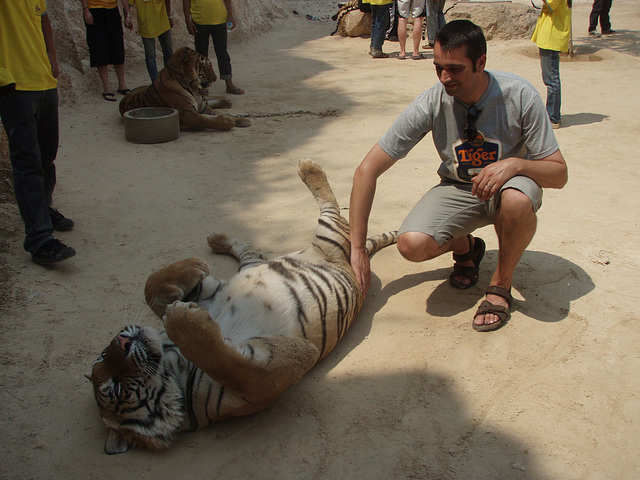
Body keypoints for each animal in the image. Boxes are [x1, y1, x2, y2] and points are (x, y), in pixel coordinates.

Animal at [90, 160, 398, 454]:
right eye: (115, 388)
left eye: (102, 355)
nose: (120, 341)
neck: (172, 360)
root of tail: (353, 262)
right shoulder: (259, 382)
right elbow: (222, 359)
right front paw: (183, 320)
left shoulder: (210, 298)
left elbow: (151, 287)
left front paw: (188, 280)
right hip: (327, 242)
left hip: (313, 242)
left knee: (325, 209)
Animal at [120, 47, 250, 131]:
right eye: (206, 65)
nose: (215, 78)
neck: (192, 87)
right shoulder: (186, 114)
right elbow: (205, 120)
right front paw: (227, 121)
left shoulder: (203, 108)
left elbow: (218, 112)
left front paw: (241, 120)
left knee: (209, 99)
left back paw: (226, 101)